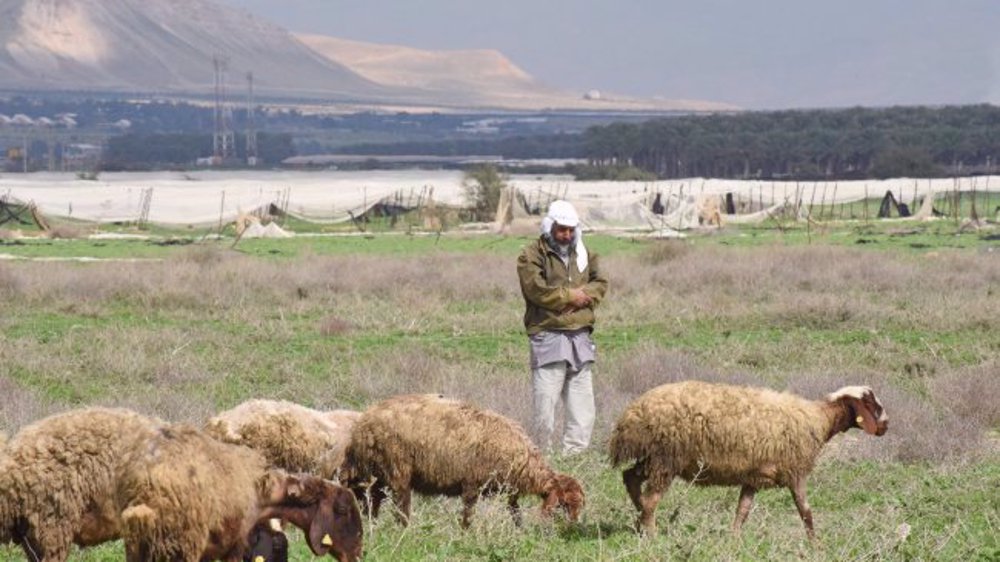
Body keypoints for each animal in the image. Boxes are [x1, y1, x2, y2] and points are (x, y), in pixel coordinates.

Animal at [342, 392, 584, 528]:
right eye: (565, 503)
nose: (573, 528)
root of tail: (364, 423)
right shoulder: (471, 485)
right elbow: (468, 515)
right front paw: (465, 534)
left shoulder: (509, 491)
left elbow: (515, 513)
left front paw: (520, 532)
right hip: (395, 472)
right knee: (399, 508)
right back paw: (403, 531)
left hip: (376, 477)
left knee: (370, 503)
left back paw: (371, 527)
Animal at [604, 380, 888, 540]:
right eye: (871, 403)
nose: (885, 426)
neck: (818, 419)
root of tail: (632, 415)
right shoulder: (796, 472)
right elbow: (806, 512)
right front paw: (814, 545)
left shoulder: (753, 477)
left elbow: (742, 511)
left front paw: (734, 540)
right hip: (666, 458)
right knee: (651, 498)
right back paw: (651, 533)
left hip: (654, 457)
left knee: (630, 478)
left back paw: (638, 516)